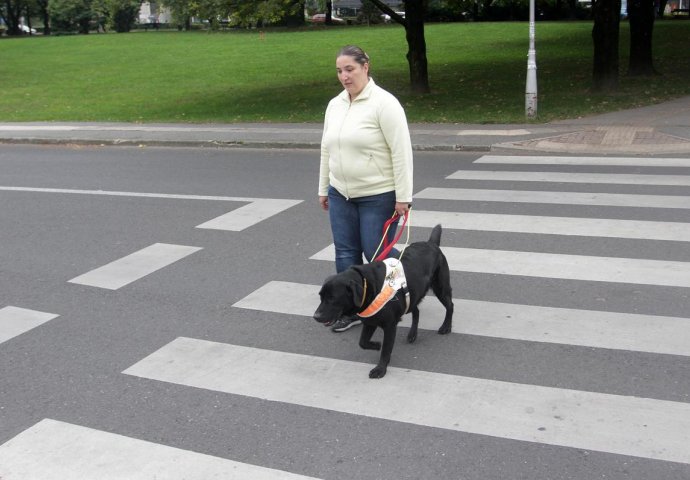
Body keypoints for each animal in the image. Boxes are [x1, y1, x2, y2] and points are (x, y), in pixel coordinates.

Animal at [312, 225, 452, 378]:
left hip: (440, 287)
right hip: (412, 294)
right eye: (321, 296)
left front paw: (380, 369)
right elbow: (363, 342)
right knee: (416, 310)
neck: (368, 286)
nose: (316, 316)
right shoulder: (370, 321)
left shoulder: (390, 325)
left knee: (450, 306)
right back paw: (412, 334)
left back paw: (446, 327)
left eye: (332, 298)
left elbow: (386, 349)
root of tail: (431, 244)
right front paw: (376, 345)